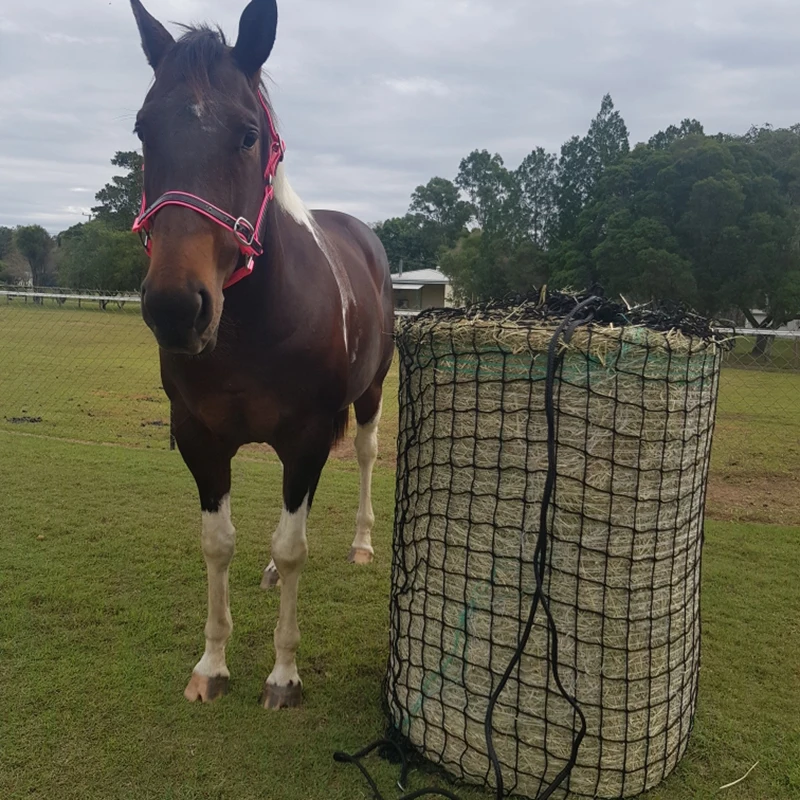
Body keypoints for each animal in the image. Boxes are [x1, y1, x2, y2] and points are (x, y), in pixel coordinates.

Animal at [127, 1, 396, 712]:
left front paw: (283, 674)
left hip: (368, 396)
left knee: (363, 455)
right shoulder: (201, 438)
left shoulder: (305, 434)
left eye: (248, 134)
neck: (251, 326)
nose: (176, 308)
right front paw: (212, 665)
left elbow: (296, 543)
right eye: (143, 129)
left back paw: (361, 543)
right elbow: (219, 543)